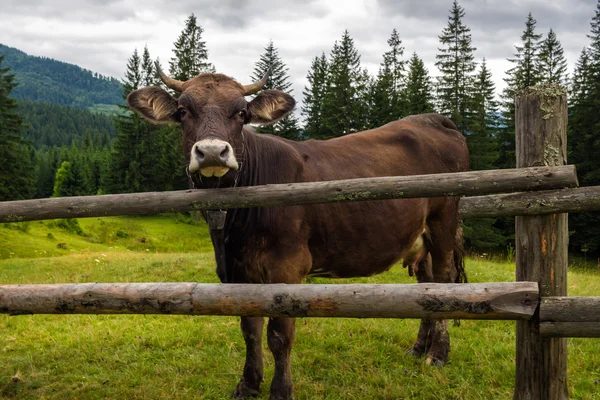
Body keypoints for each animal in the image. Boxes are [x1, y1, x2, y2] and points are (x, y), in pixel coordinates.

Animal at [129, 66, 472, 400]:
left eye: (241, 113)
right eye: (183, 111)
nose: (212, 152)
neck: (231, 224)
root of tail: (432, 118)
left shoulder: (287, 266)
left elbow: (279, 334)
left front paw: (281, 391)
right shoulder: (238, 270)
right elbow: (249, 327)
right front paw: (248, 384)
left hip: (444, 220)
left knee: (444, 281)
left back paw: (438, 353)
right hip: (421, 237)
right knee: (427, 286)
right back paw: (420, 348)